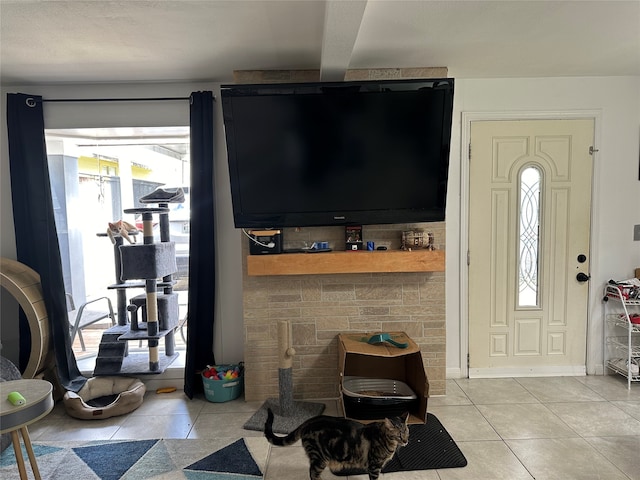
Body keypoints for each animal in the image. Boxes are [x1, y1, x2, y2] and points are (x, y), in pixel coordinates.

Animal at [264, 408, 410, 480]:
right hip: (320, 457)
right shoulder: (374, 466)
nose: (406, 441)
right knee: (312, 473)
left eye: (407, 432)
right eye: (399, 435)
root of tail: (308, 421)